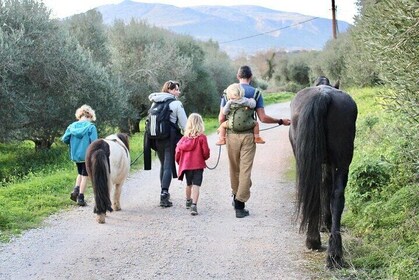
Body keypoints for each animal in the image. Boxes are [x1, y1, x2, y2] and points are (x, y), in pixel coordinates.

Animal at [290, 77, 360, 270]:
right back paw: (333, 253)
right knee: (337, 195)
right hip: (342, 160)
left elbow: (323, 187)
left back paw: (316, 241)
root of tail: (323, 96)